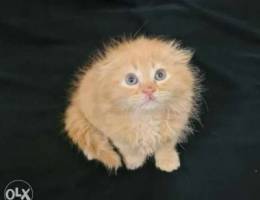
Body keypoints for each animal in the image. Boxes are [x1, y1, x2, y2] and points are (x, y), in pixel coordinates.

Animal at [63, 35, 201, 172]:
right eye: (131, 80)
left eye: (160, 75)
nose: (148, 90)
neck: (147, 117)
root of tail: (76, 99)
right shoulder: (116, 132)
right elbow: (129, 149)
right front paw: (135, 162)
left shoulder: (175, 124)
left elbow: (166, 146)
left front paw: (168, 161)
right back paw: (90, 153)